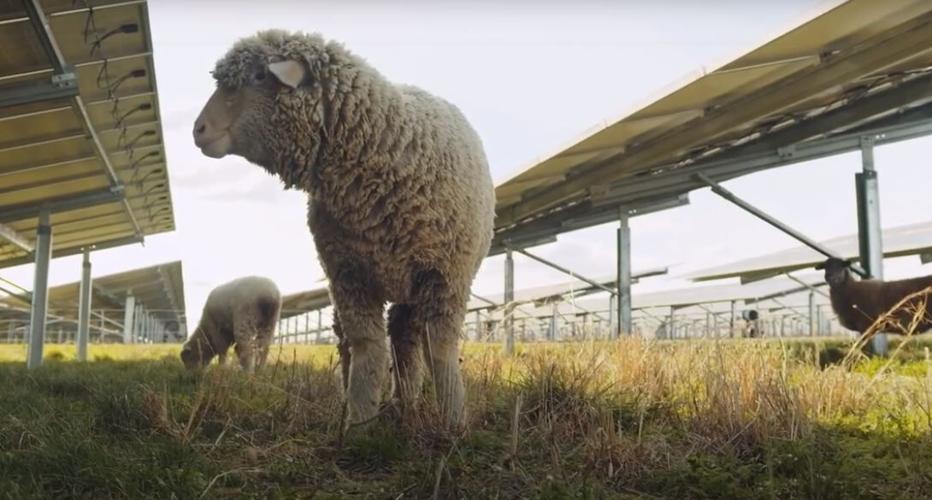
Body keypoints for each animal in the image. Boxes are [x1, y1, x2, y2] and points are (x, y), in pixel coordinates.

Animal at [192, 30, 495, 429]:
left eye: (258, 76)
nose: (198, 130)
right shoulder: (351, 277)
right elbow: (368, 347)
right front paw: (360, 421)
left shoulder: (446, 276)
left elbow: (441, 350)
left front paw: (454, 421)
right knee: (362, 343)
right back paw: (368, 403)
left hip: (414, 283)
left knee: (405, 336)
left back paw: (407, 403)